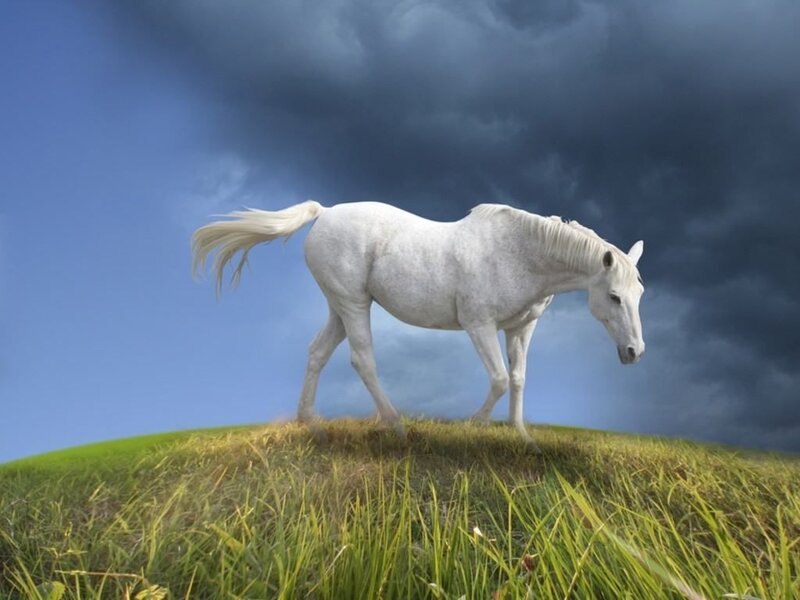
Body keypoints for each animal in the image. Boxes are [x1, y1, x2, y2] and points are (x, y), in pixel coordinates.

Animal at [192, 200, 645, 451]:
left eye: (639, 294)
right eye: (614, 297)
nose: (634, 352)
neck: (520, 253)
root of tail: (324, 213)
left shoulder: (520, 329)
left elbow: (517, 380)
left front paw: (524, 440)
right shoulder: (479, 324)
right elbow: (499, 379)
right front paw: (473, 427)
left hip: (339, 306)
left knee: (317, 352)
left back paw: (313, 427)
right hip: (354, 304)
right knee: (363, 360)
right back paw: (397, 428)